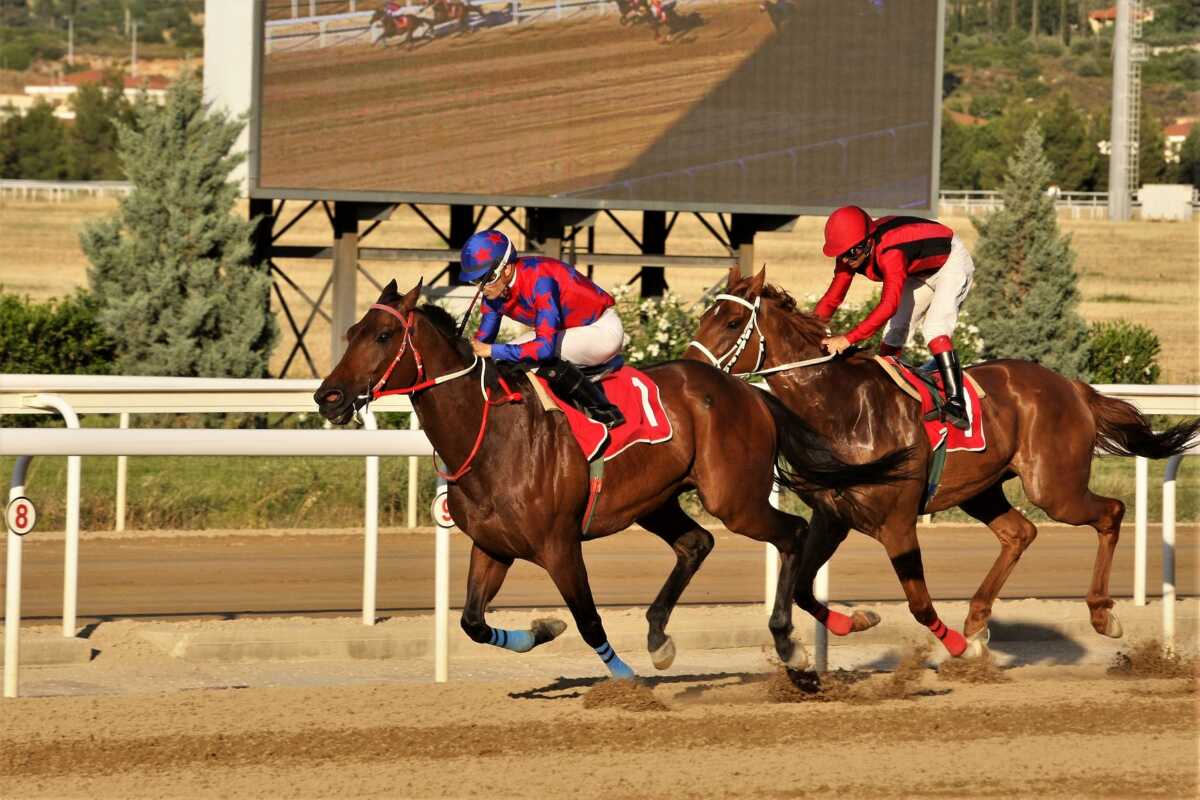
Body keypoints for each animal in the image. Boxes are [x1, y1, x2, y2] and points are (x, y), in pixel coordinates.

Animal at [314, 278, 902, 681]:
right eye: (350, 333)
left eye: (384, 334)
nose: (328, 397)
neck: (491, 434)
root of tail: (749, 391)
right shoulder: (492, 546)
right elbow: (474, 623)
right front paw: (541, 629)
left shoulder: (558, 544)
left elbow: (589, 619)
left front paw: (624, 679)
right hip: (657, 498)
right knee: (697, 542)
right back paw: (666, 636)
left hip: (734, 498)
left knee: (792, 535)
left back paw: (792, 644)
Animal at [686, 268, 1200, 657]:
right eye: (705, 314)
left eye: (732, 321)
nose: (691, 368)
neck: (842, 408)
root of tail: (1072, 386)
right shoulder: (833, 517)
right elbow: (802, 588)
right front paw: (859, 620)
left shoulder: (897, 522)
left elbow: (918, 603)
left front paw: (957, 647)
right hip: (982, 488)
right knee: (1019, 533)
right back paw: (977, 618)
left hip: (1055, 487)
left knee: (1109, 512)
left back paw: (1101, 613)